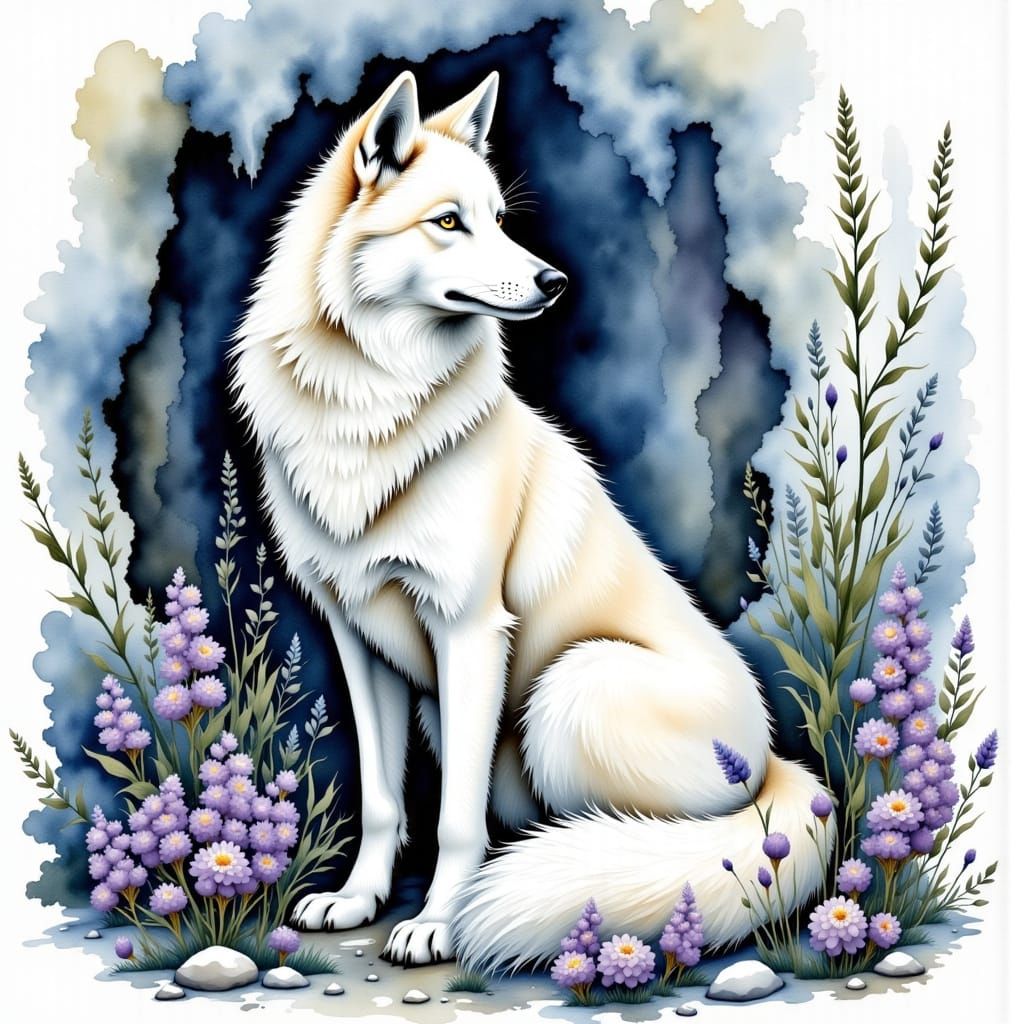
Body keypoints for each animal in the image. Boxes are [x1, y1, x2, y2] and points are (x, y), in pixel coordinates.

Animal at [230, 69, 833, 970]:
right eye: (450, 222)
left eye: (501, 220)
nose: (555, 283)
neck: (371, 406)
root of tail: (771, 762)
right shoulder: (356, 637)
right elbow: (382, 799)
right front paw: (359, 900)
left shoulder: (471, 631)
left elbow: (453, 818)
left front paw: (438, 924)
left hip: (568, 689)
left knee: (668, 834)